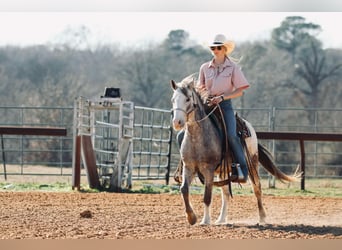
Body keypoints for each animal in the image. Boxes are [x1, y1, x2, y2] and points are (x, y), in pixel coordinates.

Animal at [171, 75, 300, 226]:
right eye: (173, 99)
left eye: (187, 99)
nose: (177, 123)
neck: (198, 138)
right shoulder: (189, 167)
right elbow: (184, 189)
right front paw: (191, 217)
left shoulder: (209, 169)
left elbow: (207, 195)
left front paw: (205, 220)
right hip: (223, 171)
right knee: (226, 192)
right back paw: (221, 219)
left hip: (252, 164)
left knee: (257, 188)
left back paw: (262, 217)